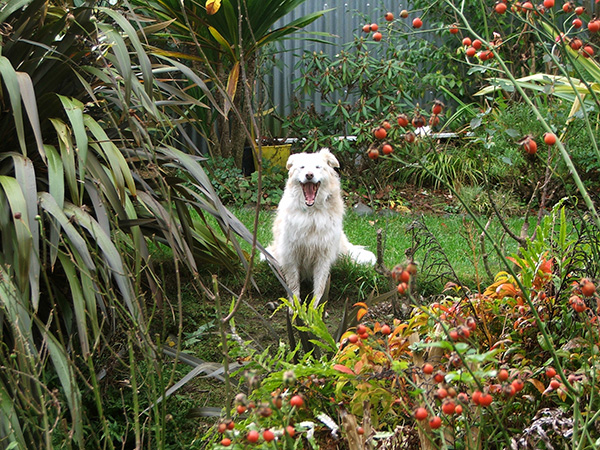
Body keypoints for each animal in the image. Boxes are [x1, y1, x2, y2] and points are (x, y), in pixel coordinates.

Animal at [264, 149, 372, 304]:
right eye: (302, 167)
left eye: (317, 167)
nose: (309, 175)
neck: (311, 213)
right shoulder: (291, 255)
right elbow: (293, 287)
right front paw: (295, 307)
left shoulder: (323, 257)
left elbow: (320, 287)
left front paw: (315, 307)